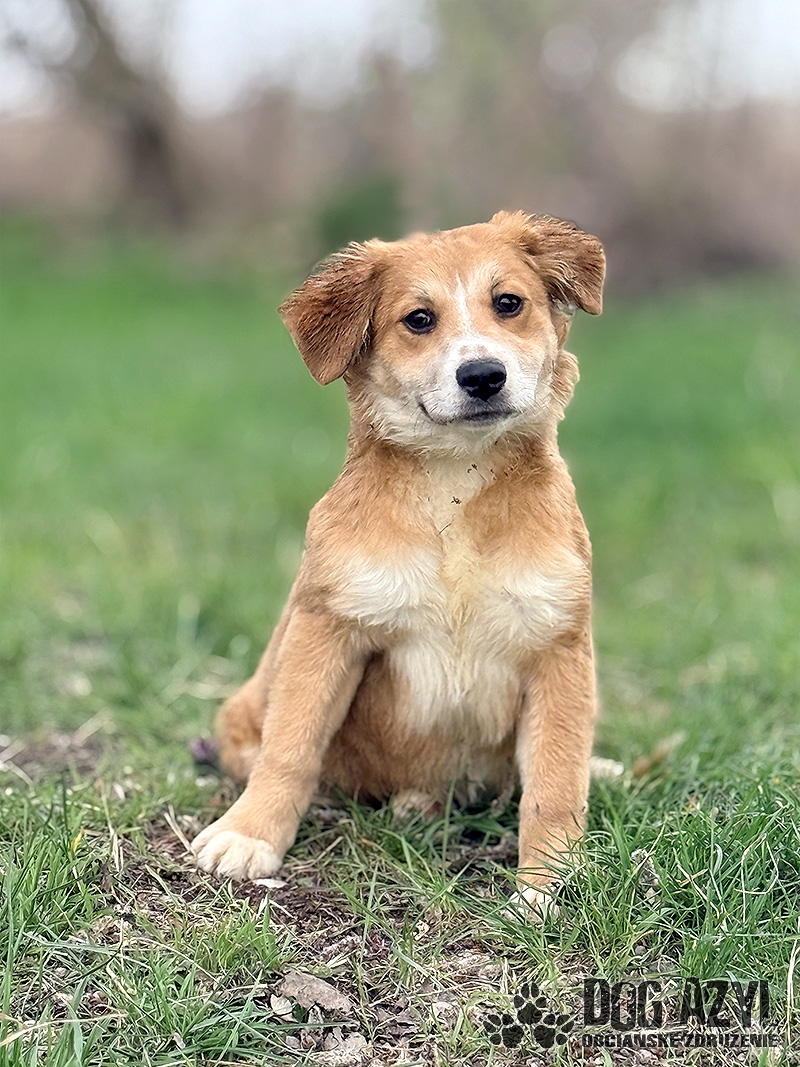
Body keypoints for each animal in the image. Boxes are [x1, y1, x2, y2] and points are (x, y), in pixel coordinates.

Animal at [191, 210, 605, 915]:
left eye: (509, 304)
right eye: (418, 319)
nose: (483, 375)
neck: (456, 485)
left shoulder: (558, 644)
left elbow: (556, 780)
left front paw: (549, 882)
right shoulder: (329, 626)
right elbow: (291, 746)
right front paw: (249, 836)